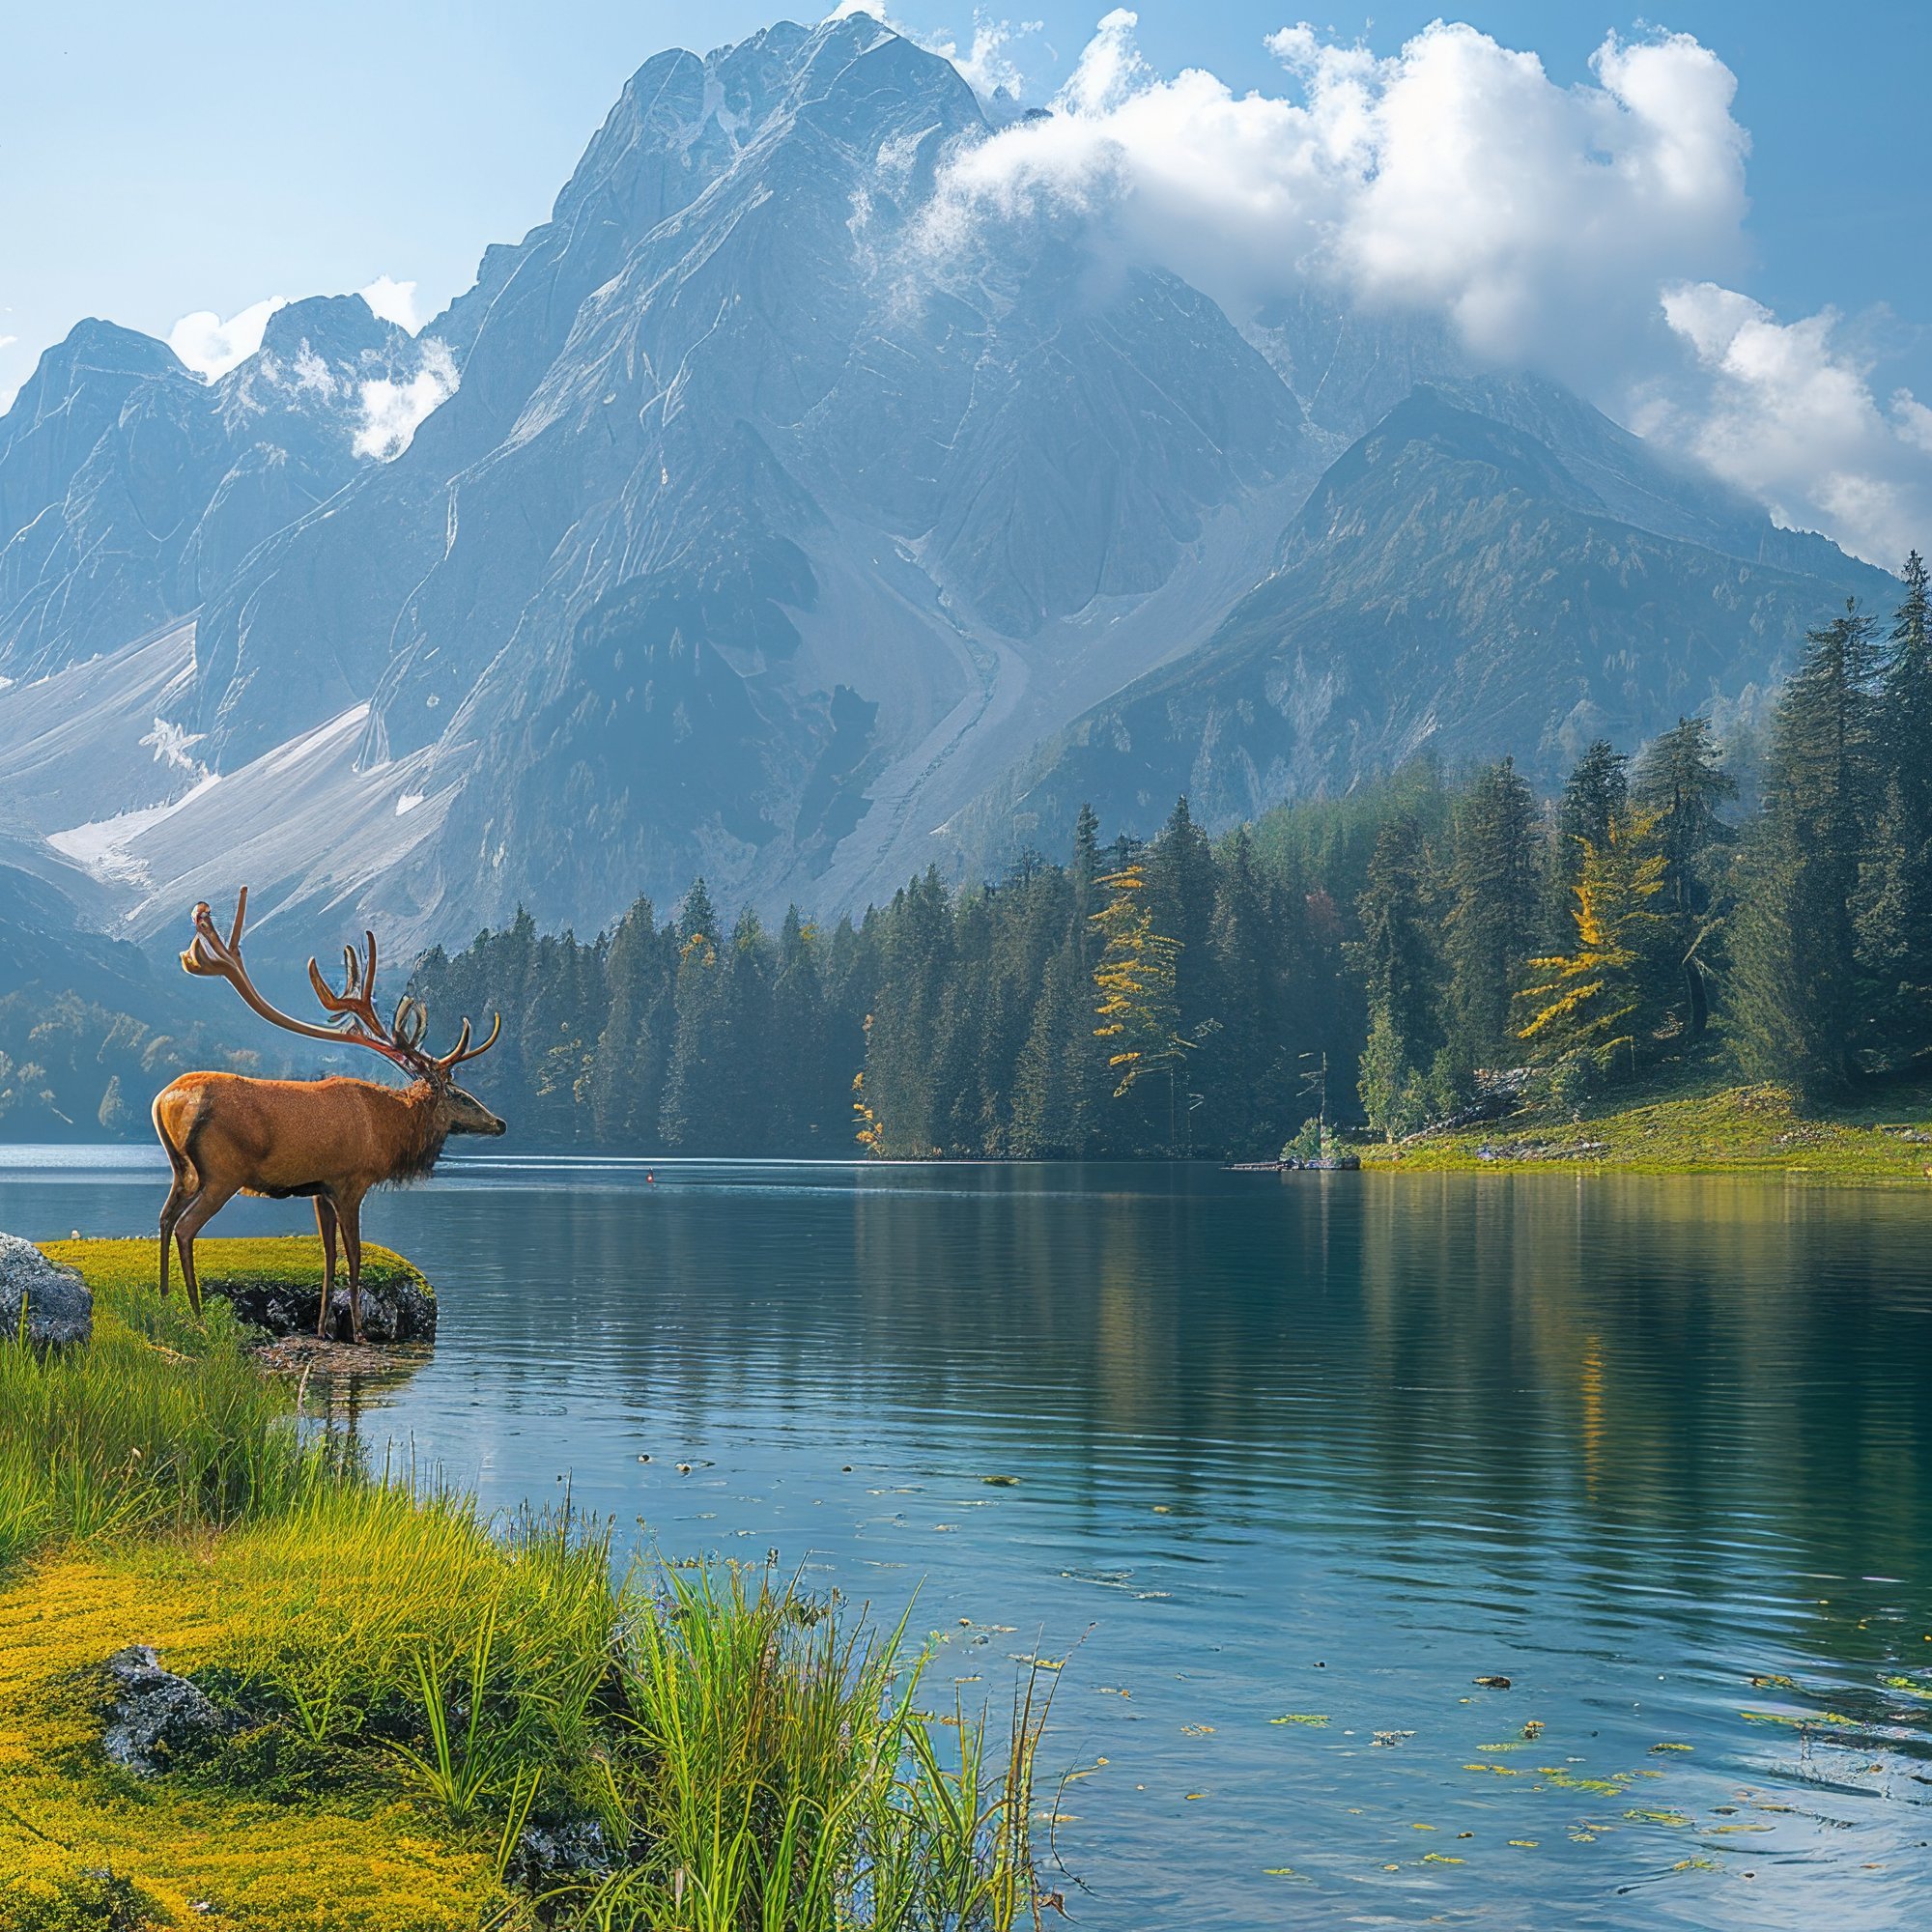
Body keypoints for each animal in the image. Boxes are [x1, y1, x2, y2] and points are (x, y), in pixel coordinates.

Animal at [152, 889, 505, 1343]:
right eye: (461, 1096)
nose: (499, 1123)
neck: (386, 1132)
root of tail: (167, 1099)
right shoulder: (351, 1179)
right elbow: (353, 1254)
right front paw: (359, 1330)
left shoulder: (319, 1187)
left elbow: (328, 1253)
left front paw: (323, 1327)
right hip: (221, 1172)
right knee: (185, 1227)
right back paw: (196, 1312)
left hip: (183, 1169)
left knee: (163, 1219)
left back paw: (164, 1300)